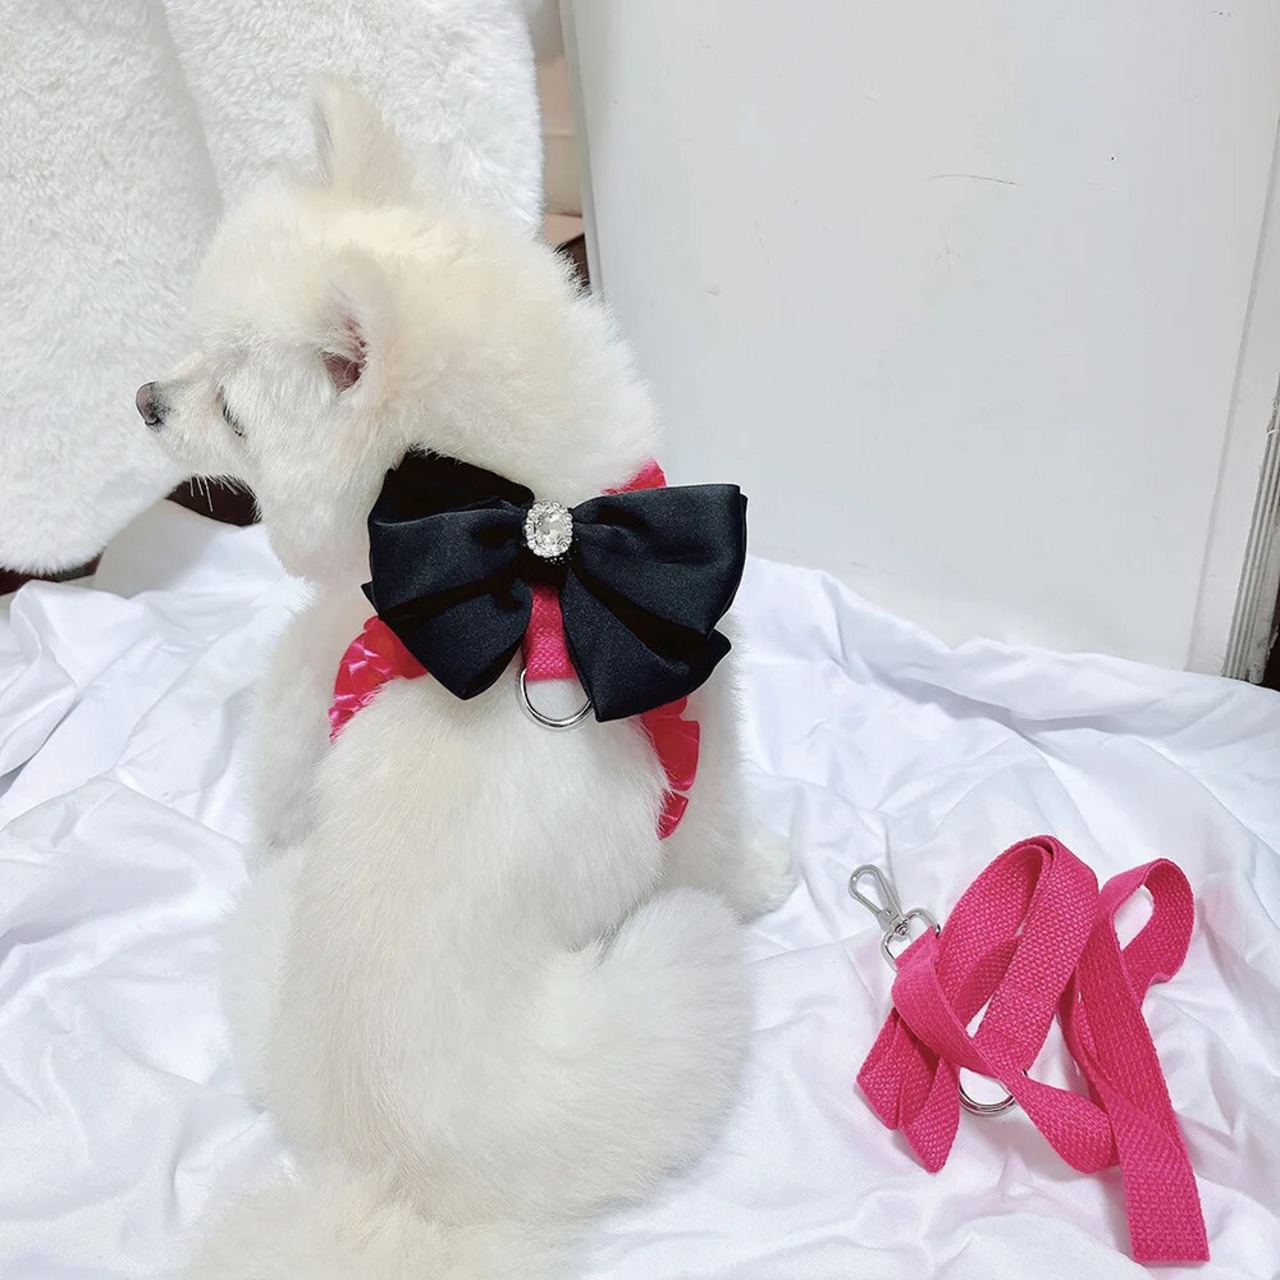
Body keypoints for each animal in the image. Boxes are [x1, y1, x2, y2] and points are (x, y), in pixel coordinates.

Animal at [137, 78, 794, 1278]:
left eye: (230, 410)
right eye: (207, 389)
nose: (143, 400)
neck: (533, 551)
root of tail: (383, 1182)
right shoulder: (702, 741)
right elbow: (722, 838)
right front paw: (772, 870)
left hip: (266, 924)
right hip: (676, 984)